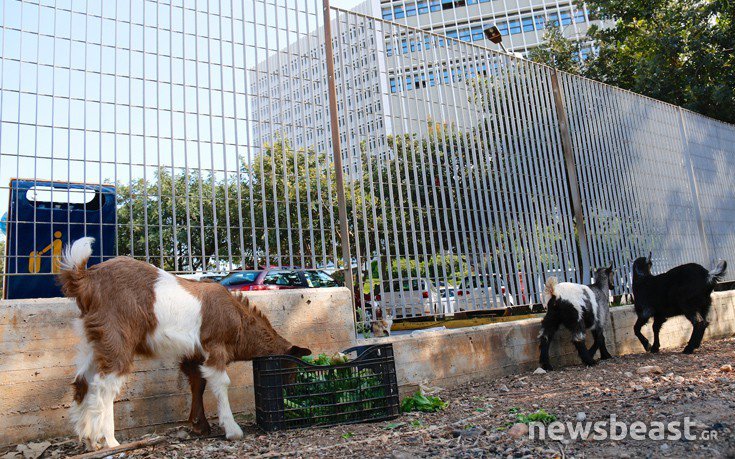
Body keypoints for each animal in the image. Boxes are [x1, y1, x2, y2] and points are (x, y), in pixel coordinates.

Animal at [58, 239, 310, 452]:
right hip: (116, 337)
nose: (290, 392)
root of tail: (86, 279)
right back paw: (109, 441)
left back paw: (90, 441)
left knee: (82, 381)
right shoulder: (215, 345)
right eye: (290, 368)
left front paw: (200, 426)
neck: (239, 318)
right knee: (105, 385)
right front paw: (232, 430)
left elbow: (198, 383)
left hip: (93, 340)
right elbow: (221, 382)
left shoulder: (194, 355)